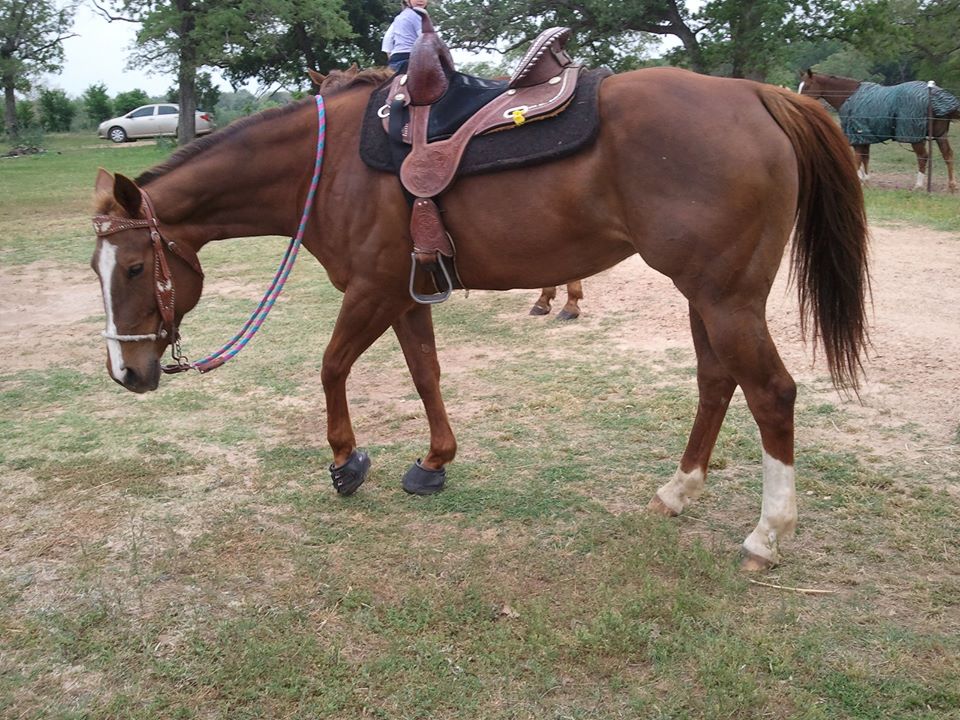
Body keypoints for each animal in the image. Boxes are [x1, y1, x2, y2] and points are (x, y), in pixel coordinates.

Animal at [90, 65, 870, 570]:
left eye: (132, 270)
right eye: (96, 271)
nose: (127, 373)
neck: (330, 163)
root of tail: (756, 94)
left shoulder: (372, 291)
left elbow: (332, 365)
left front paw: (347, 461)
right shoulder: (406, 294)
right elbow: (427, 375)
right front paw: (434, 462)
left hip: (725, 296)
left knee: (771, 393)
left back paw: (768, 534)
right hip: (705, 295)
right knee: (716, 382)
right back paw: (677, 492)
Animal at [799, 70, 960, 192]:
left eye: (807, 86)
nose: (798, 102)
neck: (849, 96)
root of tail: (935, 96)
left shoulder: (857, 136)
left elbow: (857, 158)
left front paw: (860, 181)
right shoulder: (865, 137)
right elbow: (865, 158)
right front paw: (866, 181)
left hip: (915, 136)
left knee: (923, 157)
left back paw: (918, 185)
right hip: (940, 135)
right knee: (948, 155)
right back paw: (951, 186)